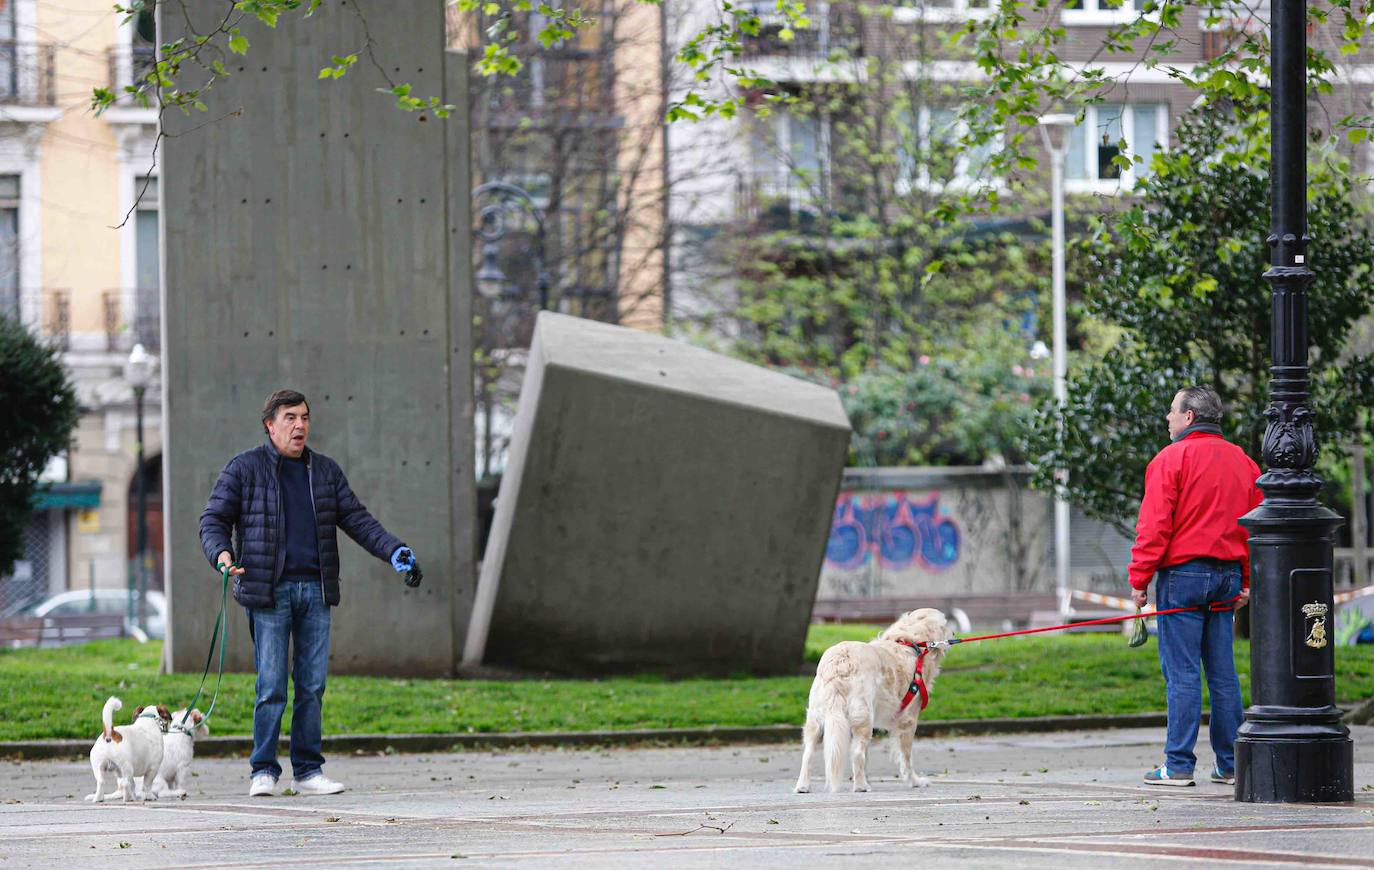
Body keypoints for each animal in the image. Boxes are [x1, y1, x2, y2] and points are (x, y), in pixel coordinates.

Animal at [796, 607, 956, 791]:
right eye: (946, 623)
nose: (954, 633)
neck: (912, 642)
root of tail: (841, 661)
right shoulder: (908, 720)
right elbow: (906, 758)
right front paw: (915, 781)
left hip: (816, 718)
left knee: (808, 753)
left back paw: (803, 786)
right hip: (863, 716)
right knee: (856, 752)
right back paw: (861, 786)